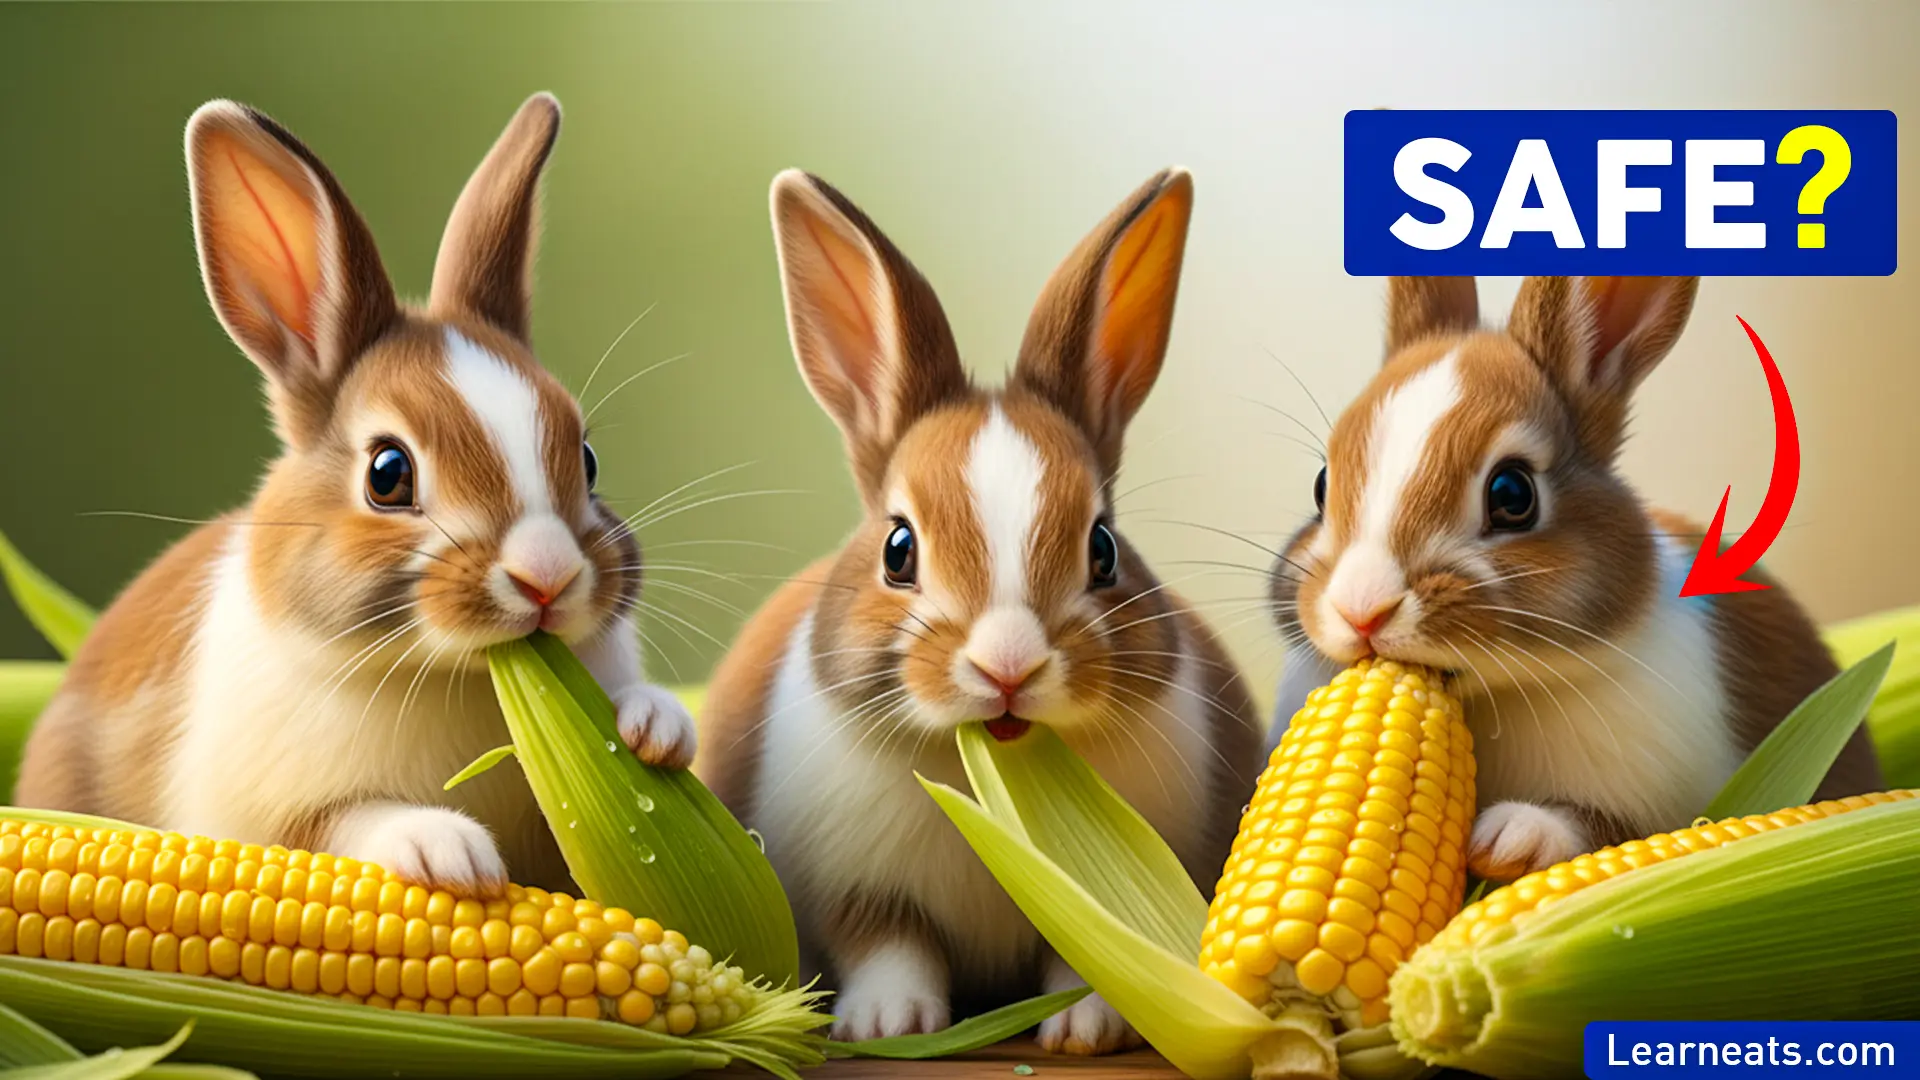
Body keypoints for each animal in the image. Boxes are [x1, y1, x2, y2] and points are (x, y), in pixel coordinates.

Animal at [13, 93, 697, 894]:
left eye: (586, 459)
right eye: (388, 474)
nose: (547, 579)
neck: (449, 675)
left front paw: (655, 729)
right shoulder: (267, 821)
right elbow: (347, 824)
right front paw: (448, 853)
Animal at [696, 168, 1263, 1054]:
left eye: (1103, 548)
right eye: (898, 550)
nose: (1008, 666)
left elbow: (1083, 963)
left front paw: (1085, 1031)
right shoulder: (857, 892)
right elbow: (891, 948)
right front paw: (888, 1024)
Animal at [1265, 275, 1881, 883]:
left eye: (1512, 493)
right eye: (1322, 485)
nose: (1361, 610)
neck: (1497, 696)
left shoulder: (1668, 806)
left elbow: (1601, 831)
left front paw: (1509, 838)